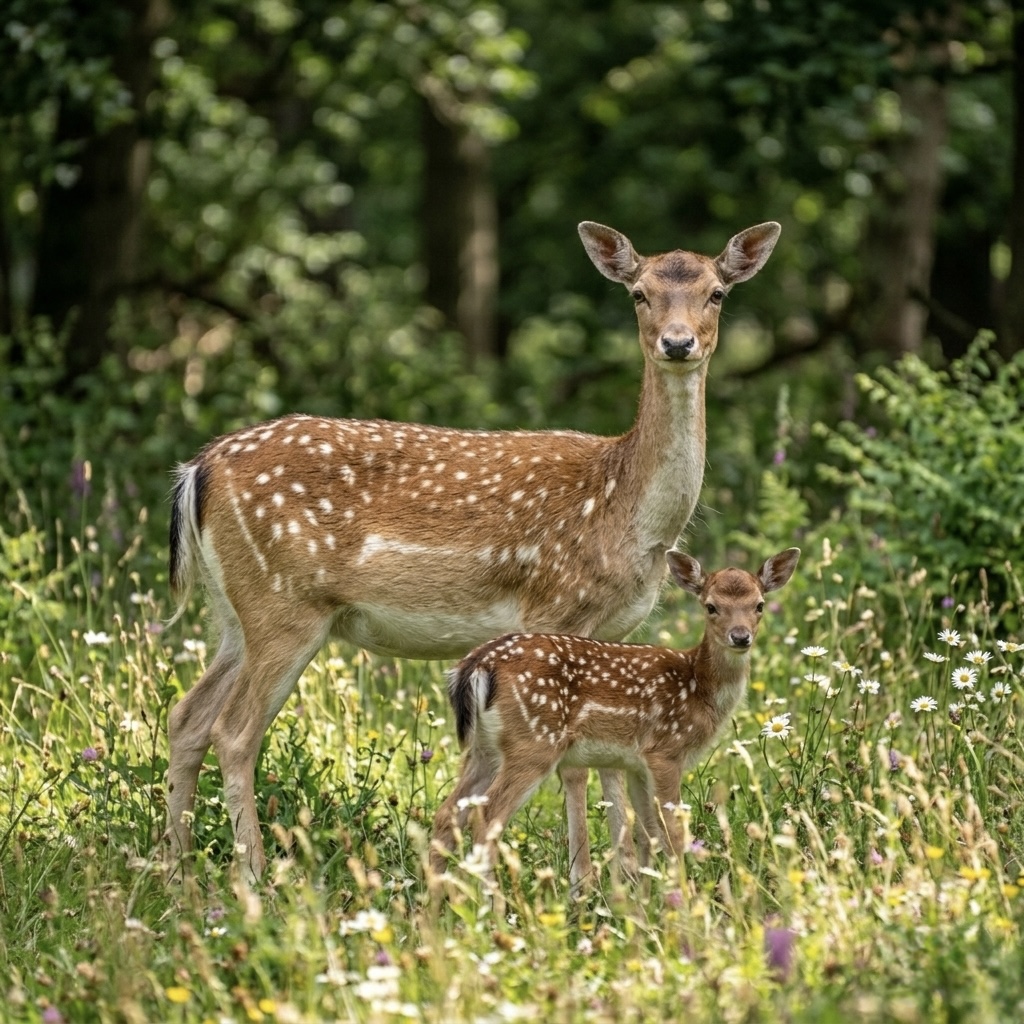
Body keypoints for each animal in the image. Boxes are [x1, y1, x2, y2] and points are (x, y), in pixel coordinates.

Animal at [429, 547, 801, 882]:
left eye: (759, 605)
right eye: (711, 606)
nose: (740, 637)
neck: (698, 686)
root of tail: (476, 664)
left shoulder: (636, 762)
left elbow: (648, 834)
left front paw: (647, 897)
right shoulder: (665, 750)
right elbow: (673, 834)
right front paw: (684, 897)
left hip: (485, 748)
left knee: (447, 813)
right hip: (534, 741)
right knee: (487, 817)